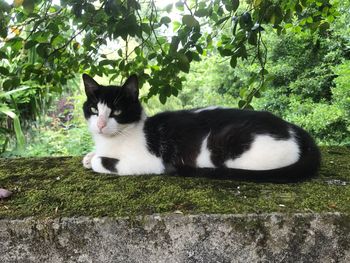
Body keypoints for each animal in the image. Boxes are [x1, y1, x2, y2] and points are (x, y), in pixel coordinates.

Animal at [81, 73, 320, 183]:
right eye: (94, 109)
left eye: (117, 112)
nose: (100, 125)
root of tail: (293, 129)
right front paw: (89, 155)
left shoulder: (149, 161)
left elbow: (101, 162)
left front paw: (93, 159)